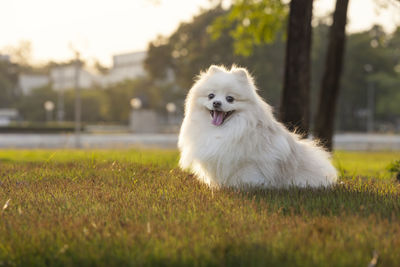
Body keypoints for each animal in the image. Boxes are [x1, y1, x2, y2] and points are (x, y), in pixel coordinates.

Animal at [179, 65, 338, 189]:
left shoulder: (249, 162)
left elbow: (245, 176)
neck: (223, 130)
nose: (216, 103)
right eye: (211, 96)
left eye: (230, 99)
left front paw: (240, 187)